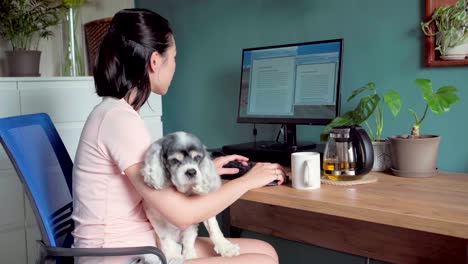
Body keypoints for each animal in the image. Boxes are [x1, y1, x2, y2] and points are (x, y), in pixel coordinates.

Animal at [134, 131, 238, 262]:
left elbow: (213, 229)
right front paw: (173, 256)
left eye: (197, 158)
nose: (191, 172)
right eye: (174, 160)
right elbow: (166, 237)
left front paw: (226, 247)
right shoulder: (154, 215)